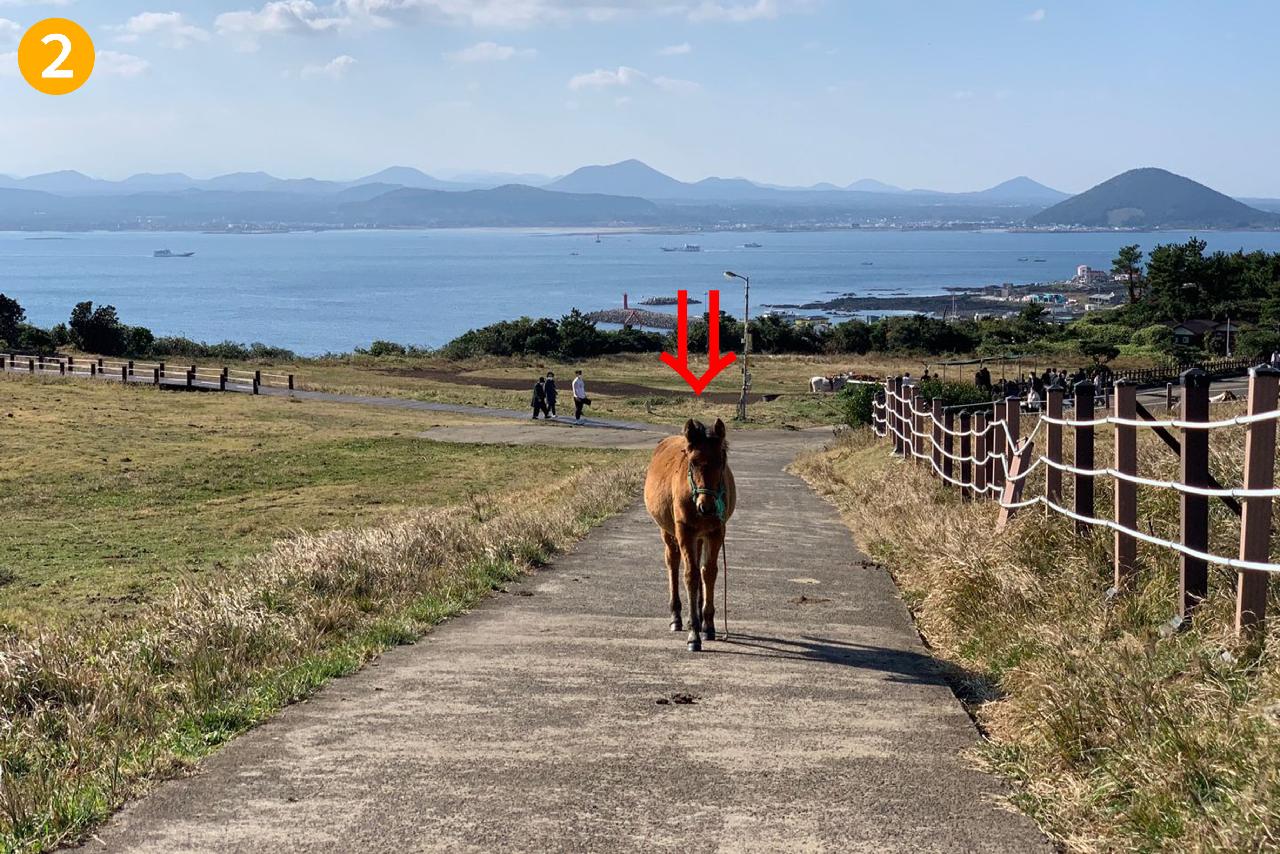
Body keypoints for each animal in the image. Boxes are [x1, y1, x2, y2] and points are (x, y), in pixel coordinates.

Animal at [645, 417, 737, 650]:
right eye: (693, 462)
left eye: (721, 461)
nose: (707, 507)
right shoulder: (684, 532)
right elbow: (690, 575)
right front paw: (693, 634)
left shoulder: (716, 532)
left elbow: (708, 573)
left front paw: (708, 625)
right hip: (669, 532)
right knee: (673, 563)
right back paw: (677, 617)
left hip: (700, 537)